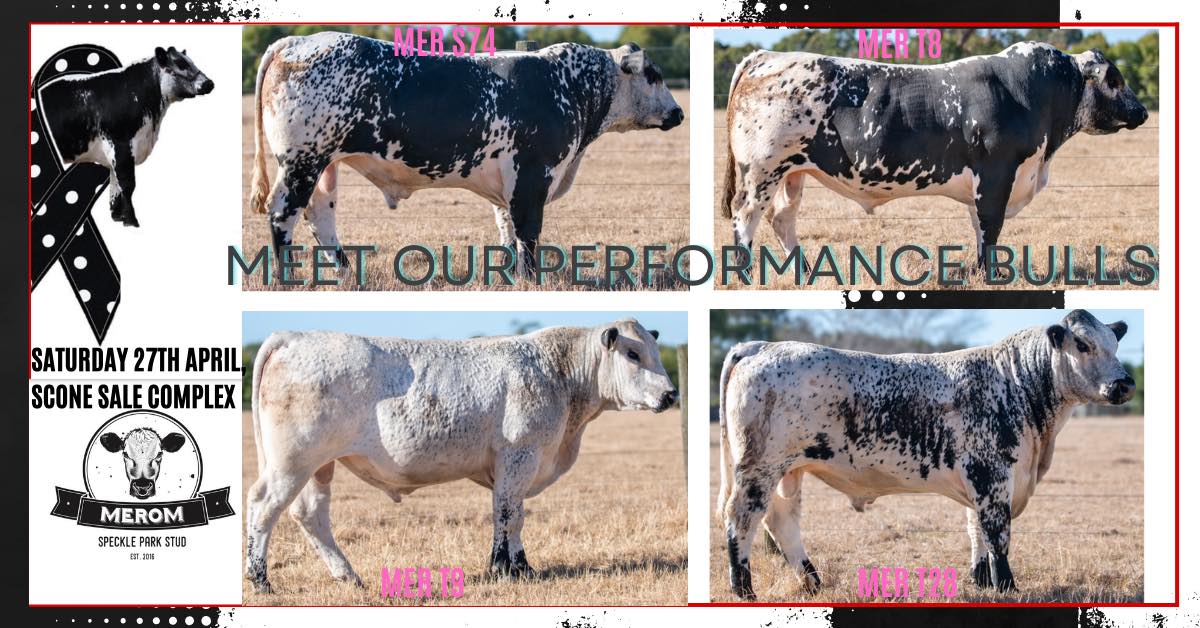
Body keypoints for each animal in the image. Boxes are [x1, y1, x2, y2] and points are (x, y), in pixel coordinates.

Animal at [37, 46, 214, 228]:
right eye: (180, 63)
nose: (209, 83)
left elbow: (115, 185)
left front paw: (117, 216)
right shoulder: (121, 144)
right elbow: (128, 184)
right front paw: (131, 220)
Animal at [244, 319, 678, 593]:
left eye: (656, 351)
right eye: (633, 355)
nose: (672, 394)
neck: (560, 373)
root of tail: (293, 336)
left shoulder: (519, 465)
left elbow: (516, 518)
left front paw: (523, 568)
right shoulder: (519, 454)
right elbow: (508, 514)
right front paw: (503, 568)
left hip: (319, 465)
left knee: (310, 514)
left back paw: (348, 576)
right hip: (293, 460)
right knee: (265, 507)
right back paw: (261, 580)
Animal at [248, 32, 684, 278]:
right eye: (653, 74)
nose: (679, 113)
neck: (568, 86)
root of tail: (295, 41)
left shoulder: (510, 186)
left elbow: (508, 231)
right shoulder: (533, 177)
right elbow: (528, 234)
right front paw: (531, 278)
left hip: (325, 165)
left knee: (320, 215)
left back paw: (345, 274)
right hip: (303, 160)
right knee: (283, 214)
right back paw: (288, 276)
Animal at [717, 309, 1135, 600]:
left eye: (1115, 345)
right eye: (1083, 345)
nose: (1125, 383)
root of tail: (760, 346)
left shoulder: (981, 480)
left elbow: (975, 531)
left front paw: (981, 582)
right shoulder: (992, 476)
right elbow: (997, 535)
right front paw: (1007, 587)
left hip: (788, 470)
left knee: (782, 521)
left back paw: (813, 582)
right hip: (759, 468)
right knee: (742, 519)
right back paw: (744, 590)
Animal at [721, 43, 1149, 269]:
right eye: (1114, 79)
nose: (1143, 112)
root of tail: (764, 55)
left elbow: (979, 227)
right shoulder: (997, 174)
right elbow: (990, 226)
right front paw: (987, 272)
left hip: (792, 173)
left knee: (782, 219)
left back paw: (805, 270)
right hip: (761, 170)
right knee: (746, 216)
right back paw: (746, 271)